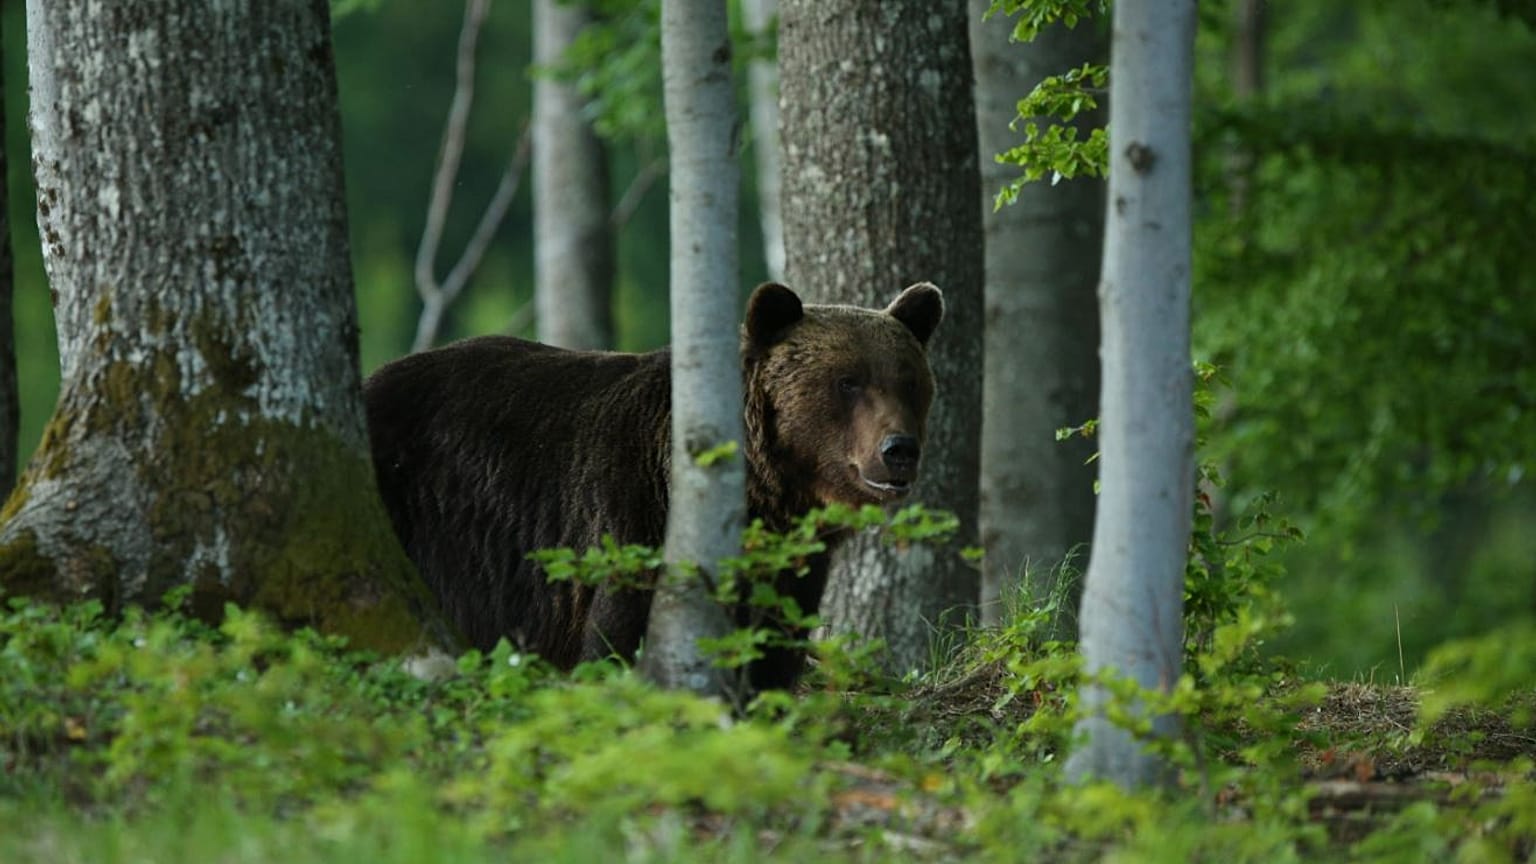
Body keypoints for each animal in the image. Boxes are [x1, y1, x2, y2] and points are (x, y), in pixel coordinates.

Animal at [363, 281, 944, 690]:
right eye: (848, 381)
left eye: (909, 381)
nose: (898, 449)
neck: (763, 493)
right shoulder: (630, 514)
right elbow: (616, 636)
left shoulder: (790, 564)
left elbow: (774, 646)